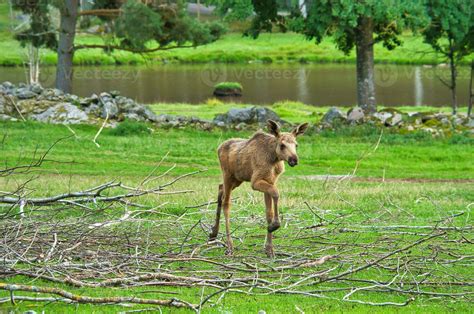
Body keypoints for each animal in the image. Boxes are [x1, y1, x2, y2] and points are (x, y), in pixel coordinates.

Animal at [209, 119, 310, 256]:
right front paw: (274, 225)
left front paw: (269, 248)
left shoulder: (270, 181)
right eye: (282, 145)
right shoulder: (255, 182)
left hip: (237, 179)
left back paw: (213, 233)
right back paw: (229, 245)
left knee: (220, 188)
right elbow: (276, 193)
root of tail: (219, 148)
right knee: (226, 203)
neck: (274, 159)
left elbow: (269, 212)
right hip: (228, 176)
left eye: (296, 145)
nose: (294, 160)